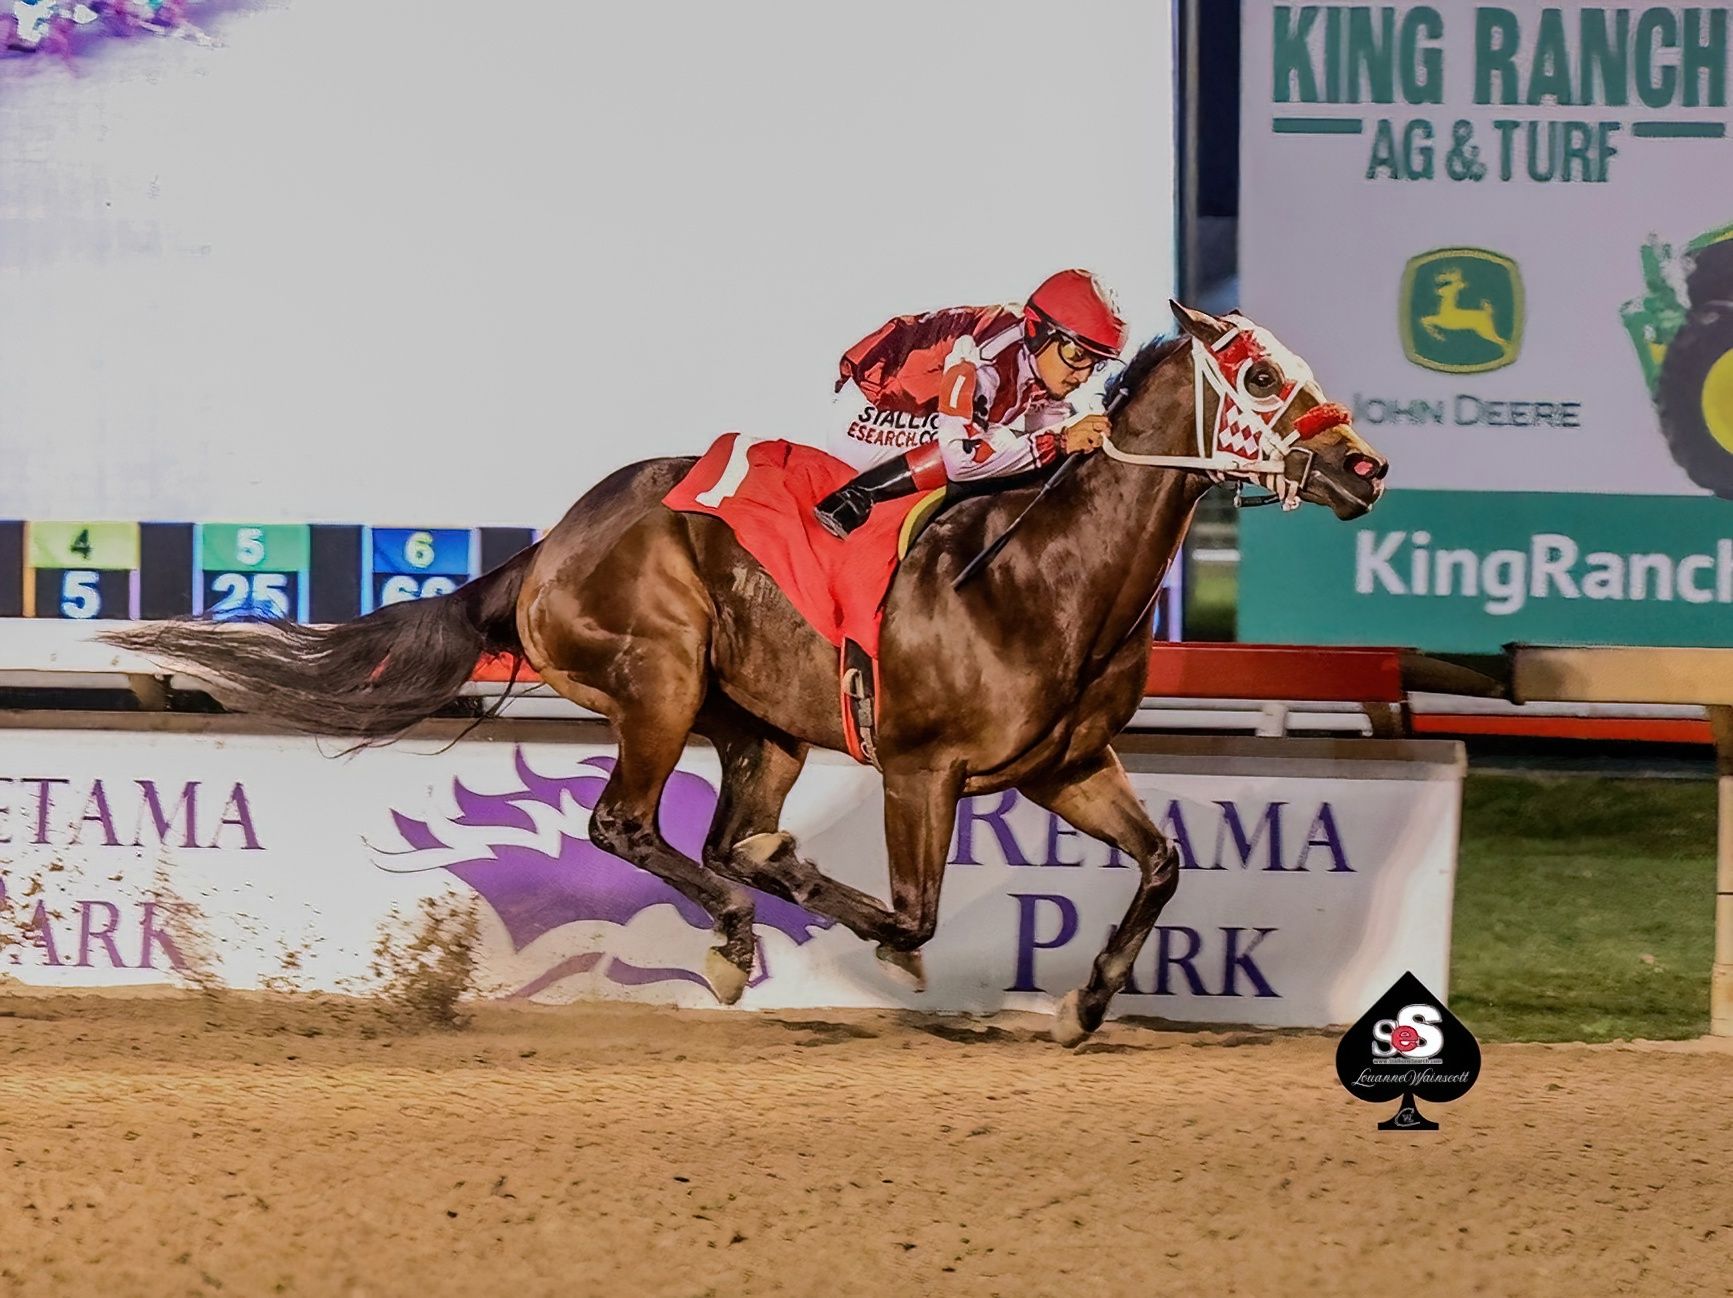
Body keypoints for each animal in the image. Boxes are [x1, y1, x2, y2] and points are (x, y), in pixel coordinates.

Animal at [104, 302, 1388, 1046]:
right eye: (1257, 378)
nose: (1365, 464)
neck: (1045, 574)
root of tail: (550, 543)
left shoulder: (1064, 764)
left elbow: (1165, 861)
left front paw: (1083, 999)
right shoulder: (920, 767)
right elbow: (912, 910)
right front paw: (881, 937)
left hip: (757, 723)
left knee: (715, 835)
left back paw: (737, 915)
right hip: (660, 681)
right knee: (629, 826)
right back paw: (734, 925)